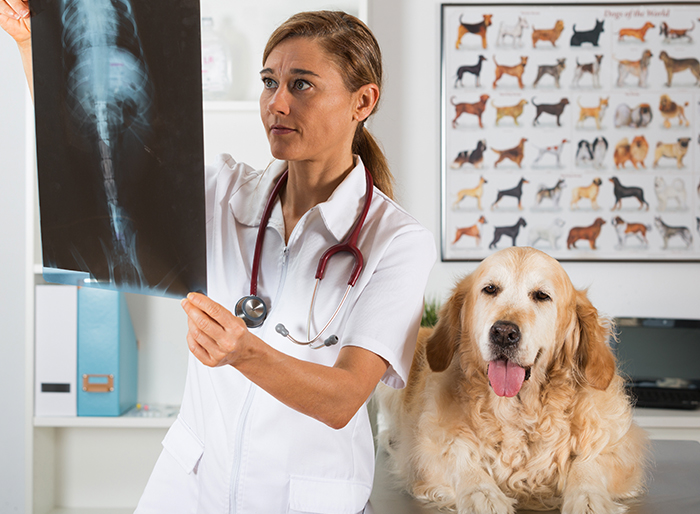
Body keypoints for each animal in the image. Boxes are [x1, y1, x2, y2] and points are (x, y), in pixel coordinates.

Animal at [378, 245, 652, 512]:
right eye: (490, 289)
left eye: (541, 295)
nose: (503, 333)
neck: (520, 410)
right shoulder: (426, 450)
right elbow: (461, 461)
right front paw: (483, 497)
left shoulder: (617, 447)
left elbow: (588, 465)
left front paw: (587, 500)